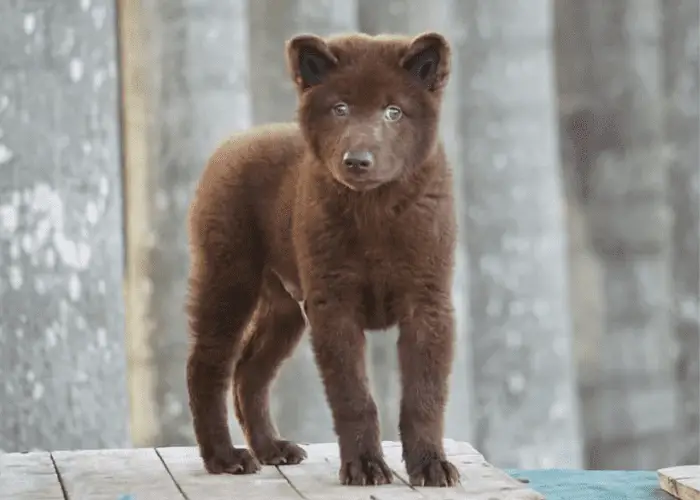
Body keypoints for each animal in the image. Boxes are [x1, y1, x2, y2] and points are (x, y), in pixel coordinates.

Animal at [186, 32, 460, 488]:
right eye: (340, 108)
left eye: (394, 112)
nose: (357, 161)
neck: (374, 210)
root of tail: (237, 140)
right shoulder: (335, 303)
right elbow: (353, 396)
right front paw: (365, 466)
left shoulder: (428, 301)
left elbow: (425, 395)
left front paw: (430, 464)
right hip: (229, 275)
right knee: (208, 365)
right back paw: (225, 457)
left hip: (285, 308)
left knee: (249, 372)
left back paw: (271, 447)